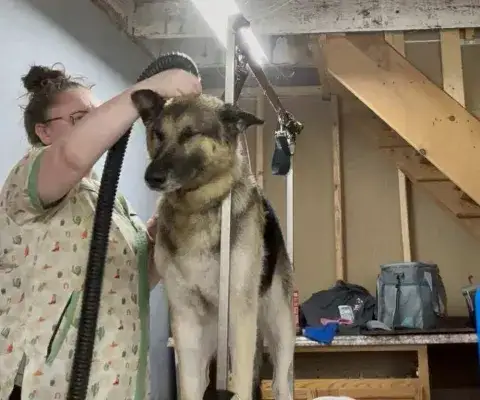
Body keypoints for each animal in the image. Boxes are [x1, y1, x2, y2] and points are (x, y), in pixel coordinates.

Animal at [131, 89, 295, 400]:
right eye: (158, 134)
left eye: (189, 133)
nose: (151, 177)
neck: (197, 208)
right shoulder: (186, 323)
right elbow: (189, 388)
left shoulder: (240, 318)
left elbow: (241, 385)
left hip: (279, 329)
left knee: (281, 382)